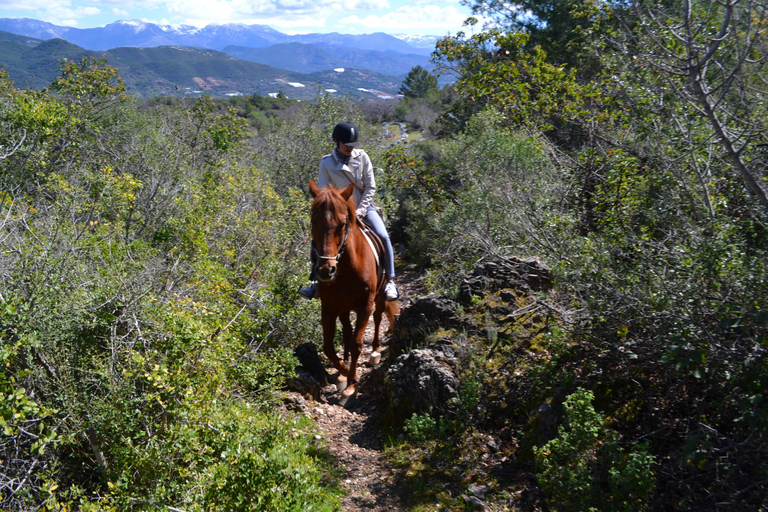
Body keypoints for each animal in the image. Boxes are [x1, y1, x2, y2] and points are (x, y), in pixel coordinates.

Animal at [308, 180, 400, 400]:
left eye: (342, 224)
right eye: (314, 223)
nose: (326, 270)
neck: (347, 268)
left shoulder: (364, 306)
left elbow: (357, 343)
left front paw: (351, 384)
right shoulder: (329, 307)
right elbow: (329, 346)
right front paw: (344, 371)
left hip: (379, 297)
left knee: (378, 318)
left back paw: (374, 352)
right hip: (343, 308)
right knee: (347, 332)